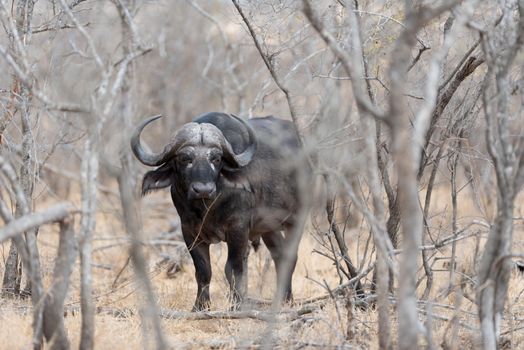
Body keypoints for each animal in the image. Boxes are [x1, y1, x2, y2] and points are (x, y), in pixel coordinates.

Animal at [132, 111, 312, 308]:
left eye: (216, 159)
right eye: (184, 158)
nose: (203, 189)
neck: (207, 209)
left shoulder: (238, 228)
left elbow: (233, 268)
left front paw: (237, 304)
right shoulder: (189, 232)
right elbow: (203, 270)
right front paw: (200, 306)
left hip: (296, 219)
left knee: (290, 257)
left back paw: (287, 299)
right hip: (269, 228)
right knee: (279, 255)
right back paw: (281, 300)